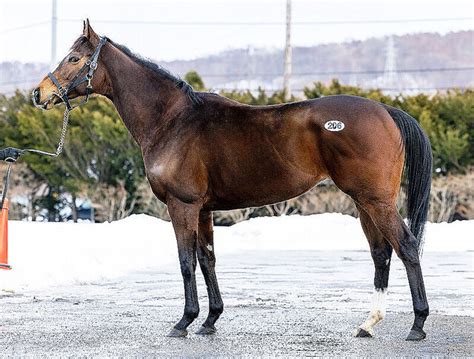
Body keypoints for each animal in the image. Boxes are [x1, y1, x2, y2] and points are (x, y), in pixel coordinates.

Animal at [33, 21, 432, 342]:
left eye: (73, 59)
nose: (39, 94)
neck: (172, 120)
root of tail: (386, 110)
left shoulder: (182, 205)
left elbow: (186, 261)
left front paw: (184, 322)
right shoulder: (204, 209)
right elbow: (207, 258)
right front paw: (210, 320)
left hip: (375, 200)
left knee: (407, 247)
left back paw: (417, 325)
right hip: (365, 202)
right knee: (381, 253)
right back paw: (369, 323)